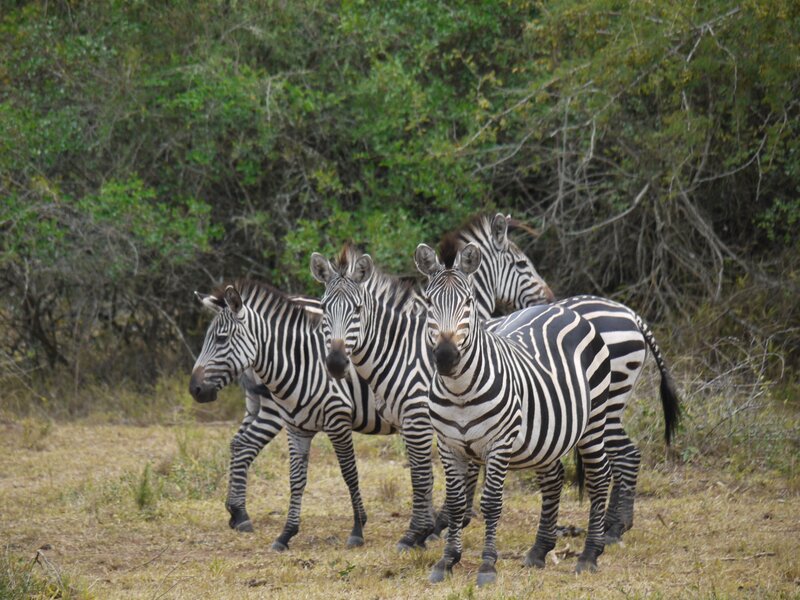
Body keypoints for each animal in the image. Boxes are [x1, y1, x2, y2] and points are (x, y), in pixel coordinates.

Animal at [189, 279, 451, 551]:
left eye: (221, 339)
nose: (195, 389)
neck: (300, 361)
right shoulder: (299, 425)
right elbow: (298, 478)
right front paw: (287, 534)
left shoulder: (338, 418)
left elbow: (350, 474)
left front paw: (359, 528)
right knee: (242, 444)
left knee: (242, 443)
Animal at [415, 240, 613, 585]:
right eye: (429, 303)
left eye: (468, 302)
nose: (446, 357)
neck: (460, 390)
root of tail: (561, 308)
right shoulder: (448, 445)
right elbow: (455, 504)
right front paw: (447, 561)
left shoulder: (499, 444)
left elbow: (492, 504)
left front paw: (487, 566)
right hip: (548, 436)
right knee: (553, 479)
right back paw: (539, 551)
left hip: (595, 420)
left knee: (600, 477)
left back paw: (589, 555)